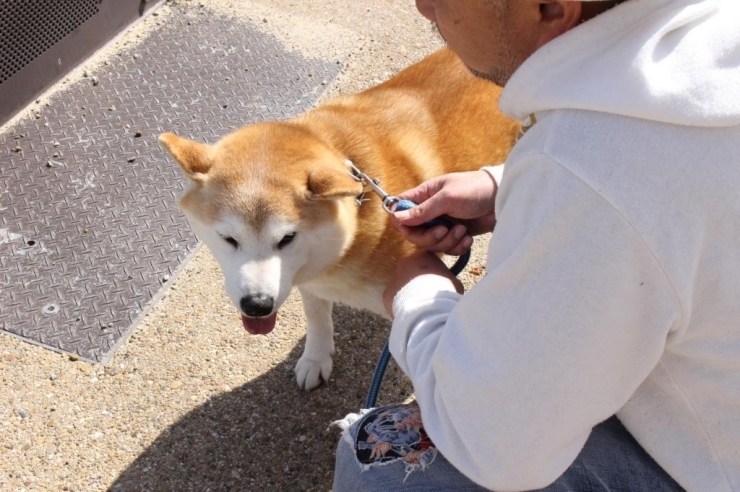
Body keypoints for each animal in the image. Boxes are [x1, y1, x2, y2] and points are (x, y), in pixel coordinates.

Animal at [159, 48, 516, 390]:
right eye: (229, 239)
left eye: (287, 238)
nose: (257, 305)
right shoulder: (311, 281)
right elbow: (317, 319)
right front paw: (316, 359)